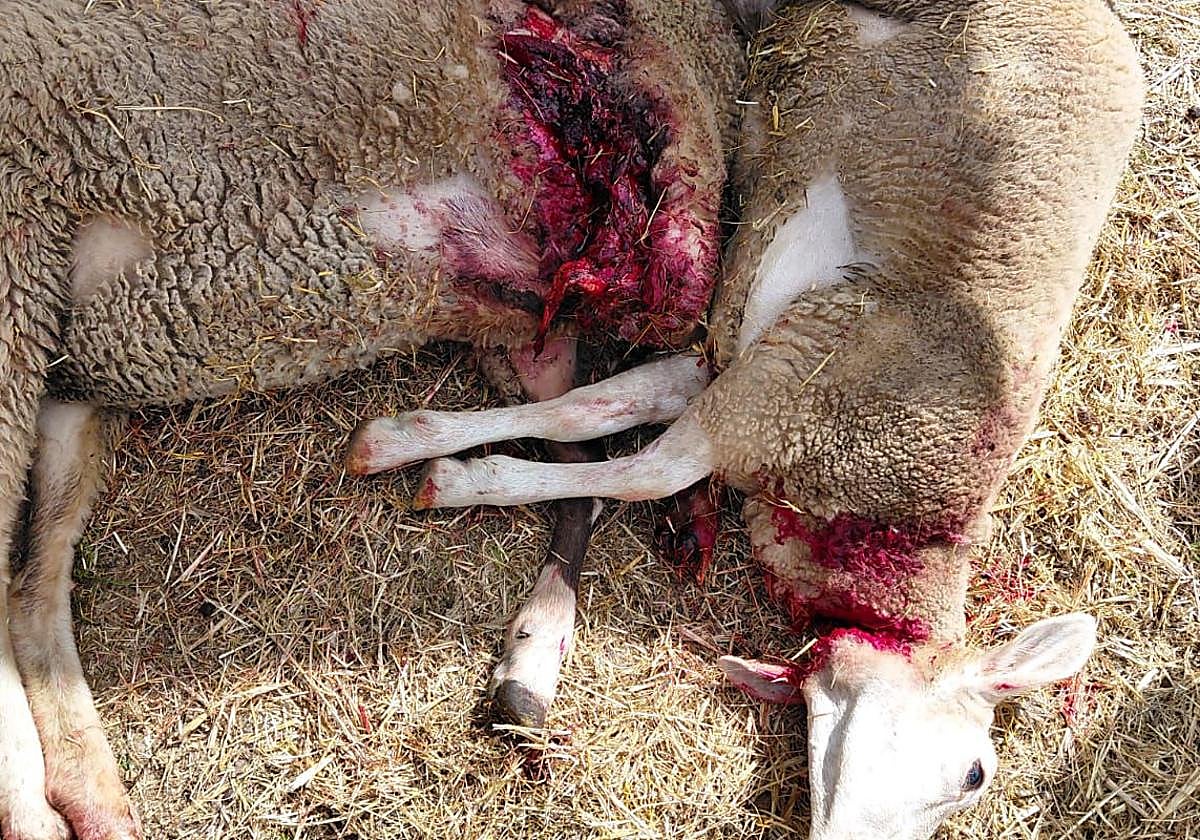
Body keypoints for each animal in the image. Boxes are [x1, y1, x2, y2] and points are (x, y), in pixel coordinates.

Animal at [0, 2, 744, 838]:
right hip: (23, 269)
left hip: (60, 358)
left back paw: (90, 795)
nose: (688, 279)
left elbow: (591, 443)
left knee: (28, 587)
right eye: (596, 38)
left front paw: (530, 653)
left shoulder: (527, 318)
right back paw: (35, 808)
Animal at [352, 0, 1146, 836]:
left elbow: (590, 410)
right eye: (977, 771)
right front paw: (455, 475)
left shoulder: (744, 369)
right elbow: (641, 471)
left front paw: (410, 444)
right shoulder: (782, 386)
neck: (880, 526)